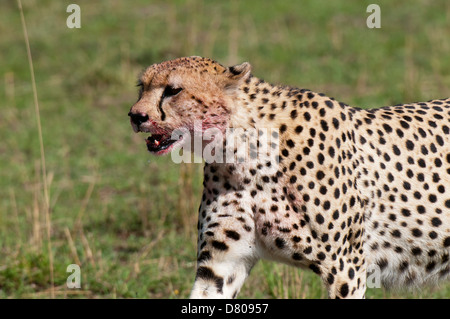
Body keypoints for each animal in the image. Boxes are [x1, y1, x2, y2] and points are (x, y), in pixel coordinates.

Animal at [127, 56, 450, 298]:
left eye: (173, 90)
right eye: (142, 86)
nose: (135, 115)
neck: (240, 149)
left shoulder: (347, 267)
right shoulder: (222, 262)